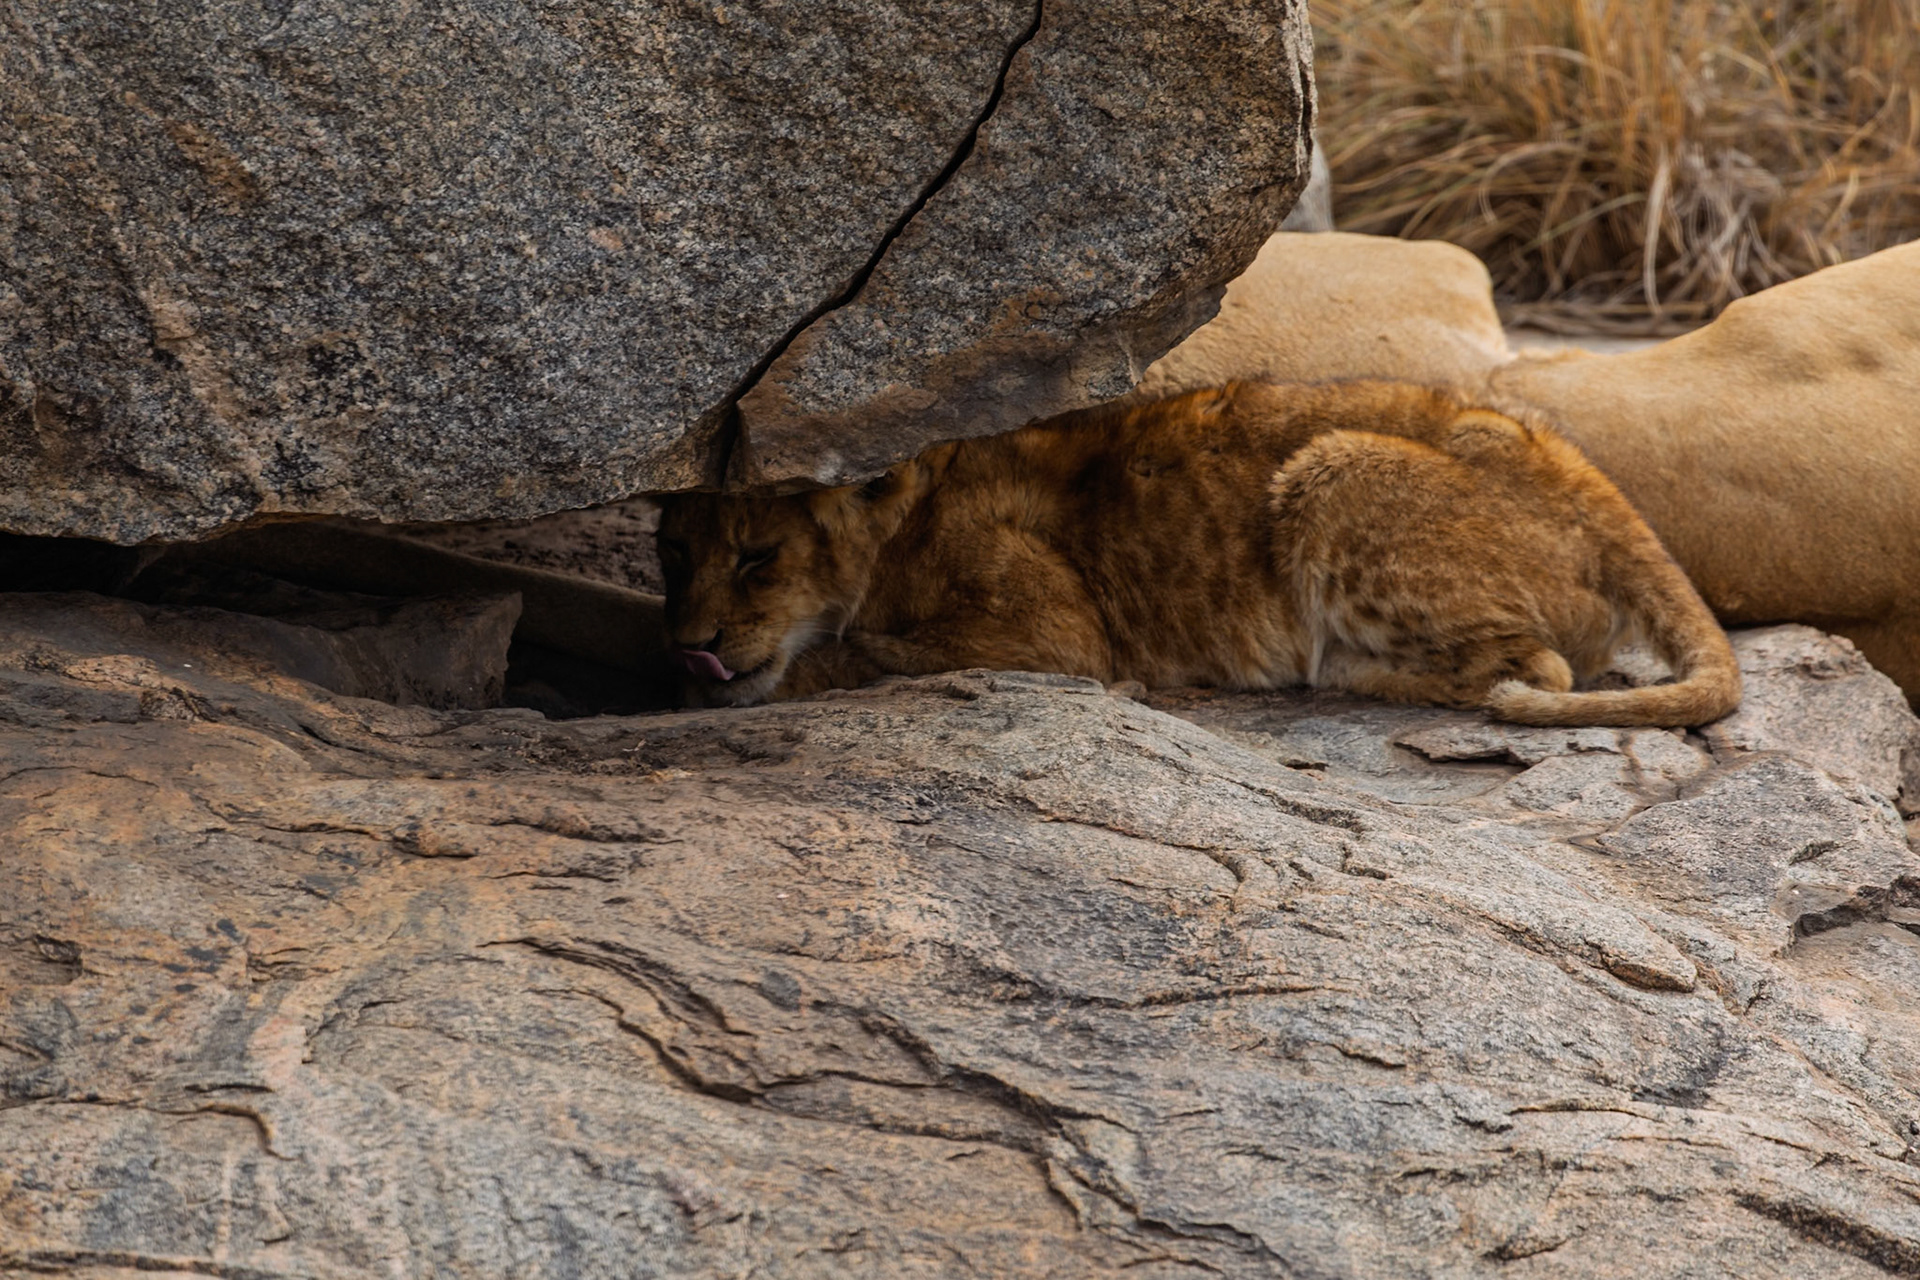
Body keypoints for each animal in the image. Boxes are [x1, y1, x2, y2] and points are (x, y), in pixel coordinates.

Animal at [657, 380, 1740, 727]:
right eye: (672, 559)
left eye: (756, 558)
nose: (691, 645)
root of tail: (1575, 465)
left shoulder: (1056, 638)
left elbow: (859, 652)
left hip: (1333, 466)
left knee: (1539, 670)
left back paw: (1343, 671)